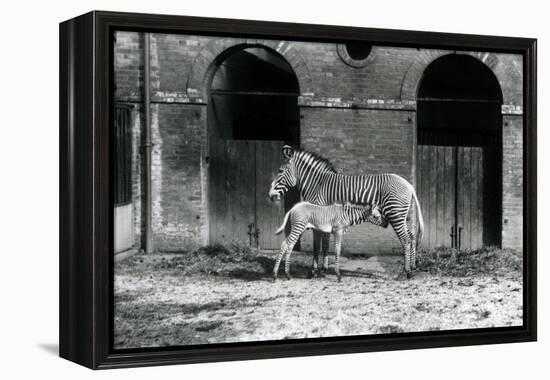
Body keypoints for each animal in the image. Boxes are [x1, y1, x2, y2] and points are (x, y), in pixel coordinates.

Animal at [268, 145, 426, 280]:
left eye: (280, 171)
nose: (271, 196)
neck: (317, 185)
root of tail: (409, 185)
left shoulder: (319, 216)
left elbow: (318, 245)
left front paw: (315, 271)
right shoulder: (323, 219)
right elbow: (324, 244)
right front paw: (322, 269)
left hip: (395, 214)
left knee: (405, 239)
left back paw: (407, 271)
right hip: (401, 215)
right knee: (412, 237)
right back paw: (413, 267)